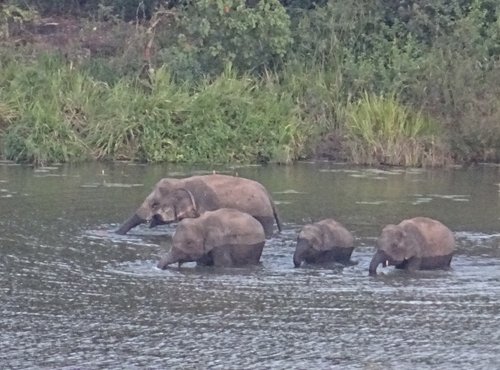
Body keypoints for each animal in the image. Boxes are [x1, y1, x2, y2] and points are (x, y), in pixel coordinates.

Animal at [116, 173, 282, 237]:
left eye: (154, 204)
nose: (116, 234)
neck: (181, 182)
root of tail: (268, 194)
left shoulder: (206, 205)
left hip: (264, 216)